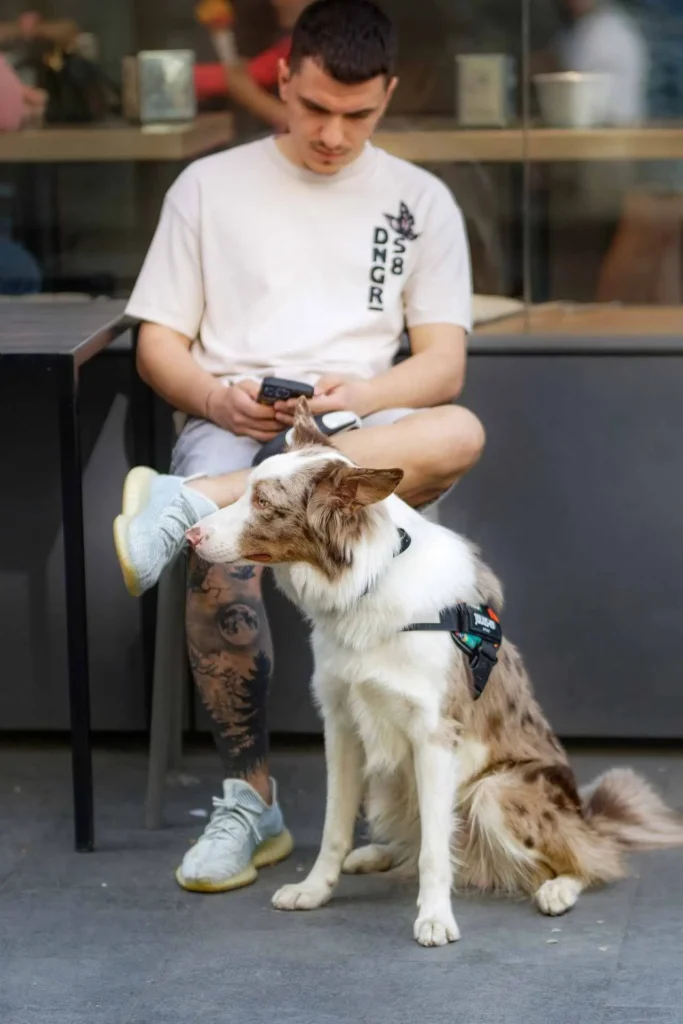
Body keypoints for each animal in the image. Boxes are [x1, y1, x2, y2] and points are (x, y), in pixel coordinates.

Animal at [185, 403, 683, 946]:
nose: (190, 536)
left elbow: (434, 850)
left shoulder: (434, 735)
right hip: (388, 780)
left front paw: (436, 918)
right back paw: (375, 855)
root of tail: (587, 815)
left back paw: (558, 889)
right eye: (247, 489)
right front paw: (315, 890)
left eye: (262, 501)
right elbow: (336, 826)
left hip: (495, 792)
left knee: (587, 858)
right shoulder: (342, 725)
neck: (369, 580)